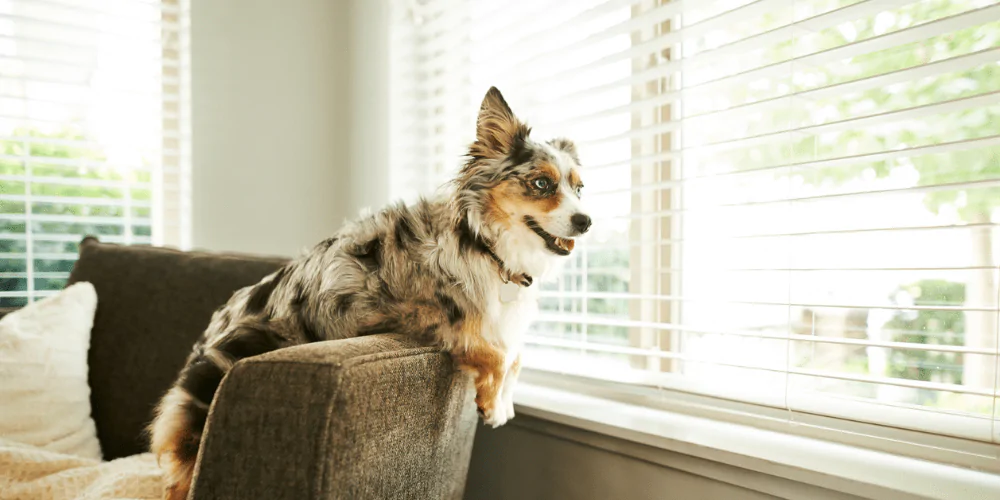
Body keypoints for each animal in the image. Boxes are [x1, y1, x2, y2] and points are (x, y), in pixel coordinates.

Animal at [147, 88, 584, 498]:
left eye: (579, 189)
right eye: (541, 183)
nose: (586, 221)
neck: (482, 243)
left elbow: (516, 355)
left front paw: (504, 400)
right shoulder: (414, 310)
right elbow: (495, 351)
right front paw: (492, 406)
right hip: (216, 372)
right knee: (178, 478)